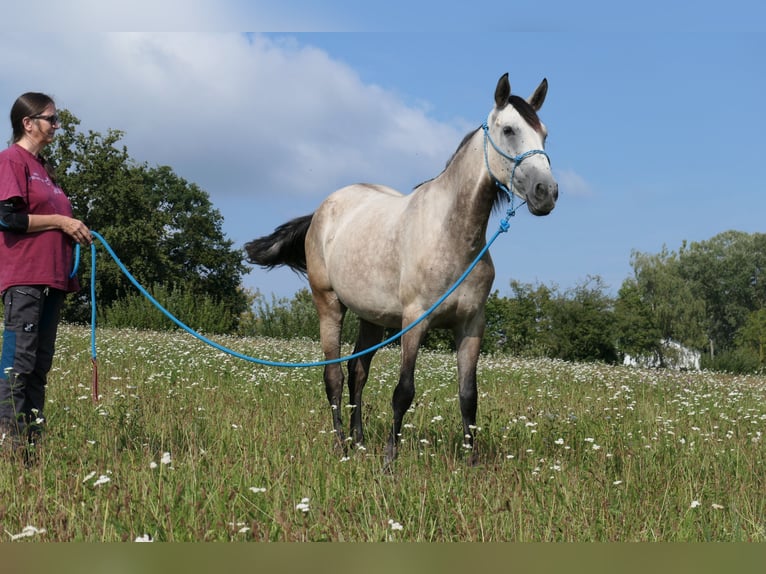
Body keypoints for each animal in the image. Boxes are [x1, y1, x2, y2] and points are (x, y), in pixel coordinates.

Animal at [246, 73, 560, 468]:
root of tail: (323, 210)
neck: (452, 236)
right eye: (508, 130)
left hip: (372, 318)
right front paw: (390, 461)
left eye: (544, 133)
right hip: (329, 305)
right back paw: (341, 446)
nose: (546, 192)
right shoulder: (415, 320)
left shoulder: (471, 325)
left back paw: (359, 440)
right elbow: (404, 391)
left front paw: (471, 463)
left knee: (357, 373)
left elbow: (469, 395)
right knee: (333, 376)